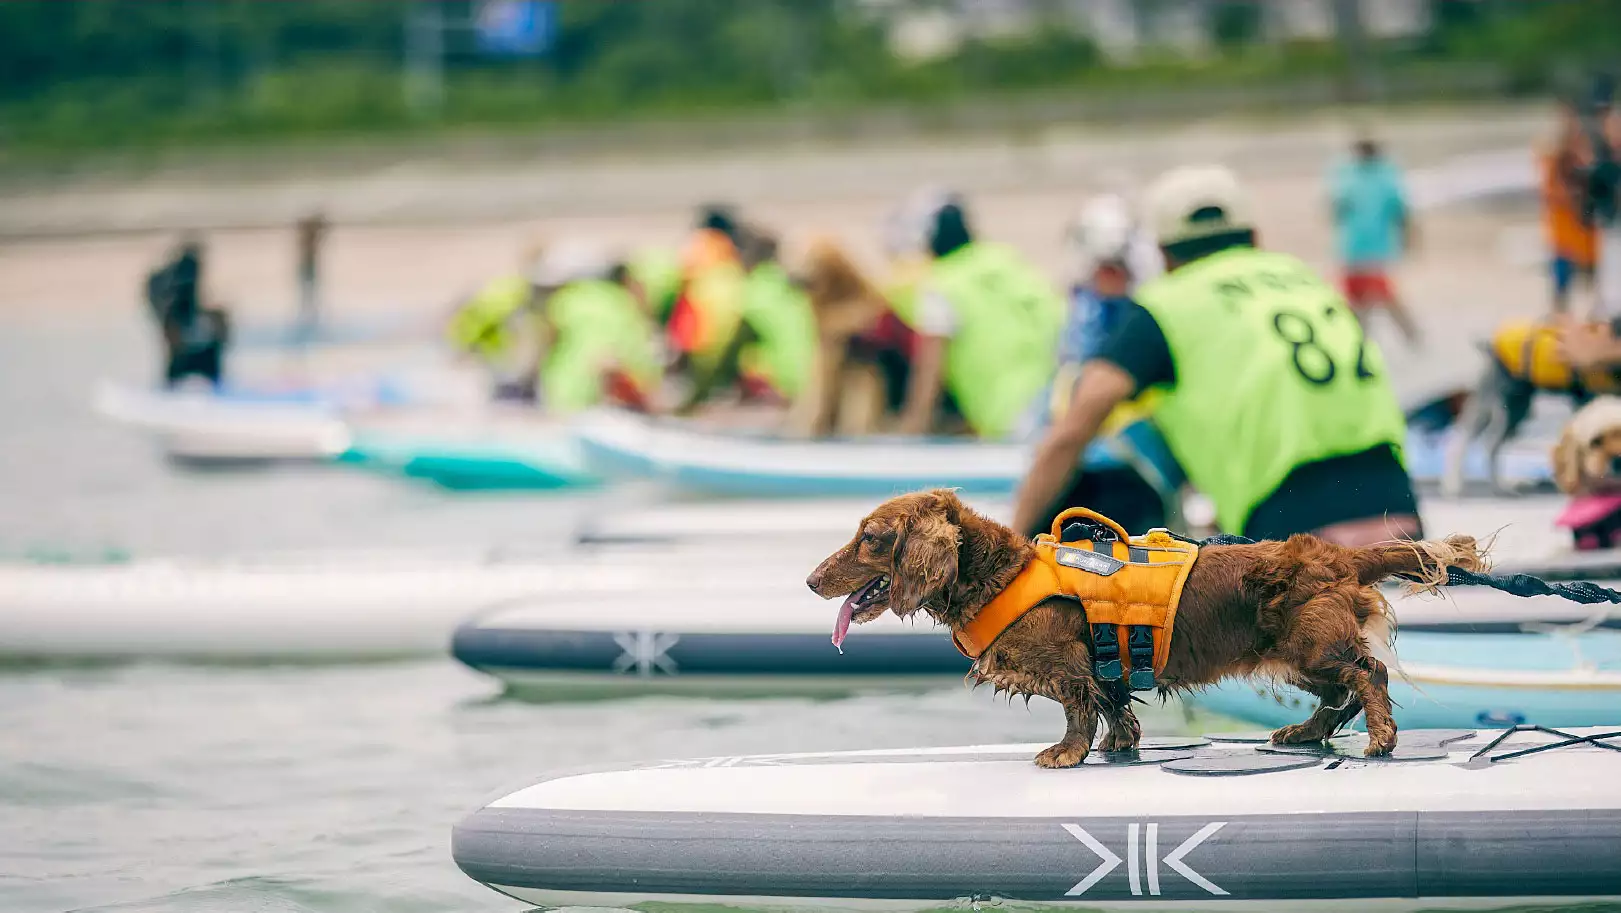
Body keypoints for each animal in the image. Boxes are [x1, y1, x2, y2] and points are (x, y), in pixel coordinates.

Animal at [807, 489, 1484, 768]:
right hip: (1295, 656)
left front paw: (1067, 753)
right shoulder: (1103, 670)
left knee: (1367, 674)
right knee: (1339, 695)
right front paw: (1118, 744)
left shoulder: (1068, 665)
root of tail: (1339, 555)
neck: (1000, 574)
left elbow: (1080, 708)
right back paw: (1304, 731)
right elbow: (1115, 708)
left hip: (1311, 645)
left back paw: (1381, 738)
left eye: (870, 538)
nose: (812, 580)